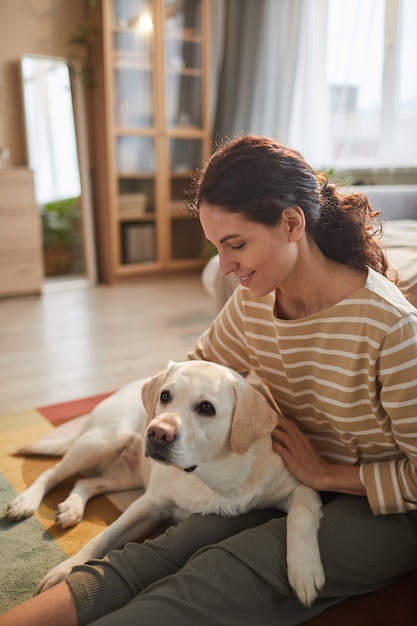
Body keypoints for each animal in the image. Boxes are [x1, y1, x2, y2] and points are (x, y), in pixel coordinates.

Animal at [7, 360, 324, 604]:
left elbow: (300, 514)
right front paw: (66, 570)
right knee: (52, 473)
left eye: (206, 407)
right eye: (165, 395)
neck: (211, 477)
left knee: (85, 483)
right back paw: (26, 502)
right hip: (103, 441)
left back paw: (72, 507)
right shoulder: (149, 504)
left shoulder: (299, 487)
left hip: (125, 473)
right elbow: (102, 538)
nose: (157, 433)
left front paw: (304, 571)